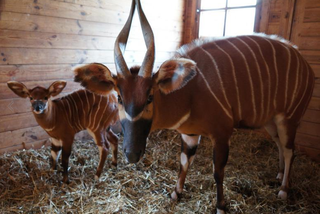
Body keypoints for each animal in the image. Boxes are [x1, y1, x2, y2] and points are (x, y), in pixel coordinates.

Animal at [73, 0, 316, 212]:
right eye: (120, 97)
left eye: (150, 96)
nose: (132, 154)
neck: (190, 91)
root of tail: (305, 64)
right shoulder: (189, 134)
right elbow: (184, 162)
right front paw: (176, 193)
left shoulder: (222, 133)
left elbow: (218, 171)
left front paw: (221, 207)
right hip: (271, 121)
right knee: (279, 144)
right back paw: (278, 176)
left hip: (289, 118)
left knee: (290, 150)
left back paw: (284, 190)